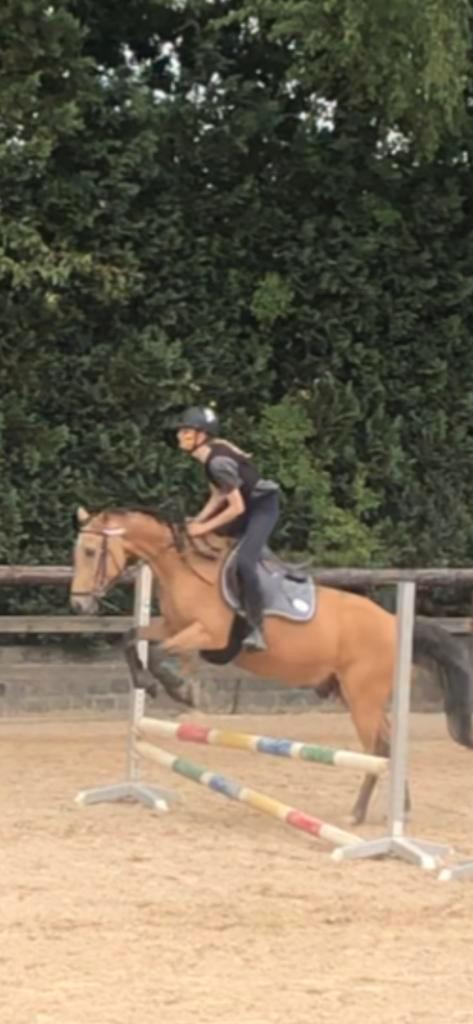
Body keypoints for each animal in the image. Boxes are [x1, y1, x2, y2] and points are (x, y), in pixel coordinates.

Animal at [70, 505, 473, 825]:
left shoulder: (207, 635)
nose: (78, 604)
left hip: (364, 700)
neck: (185, 570)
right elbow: (130, 636)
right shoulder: (172, 625)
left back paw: (359, 815)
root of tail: (393, 622)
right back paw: (398, 809)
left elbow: (157, 652)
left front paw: (175, 689)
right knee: (388, 747)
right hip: (353, 696)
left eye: (89, 551)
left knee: (377, 751)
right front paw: (149, 681)